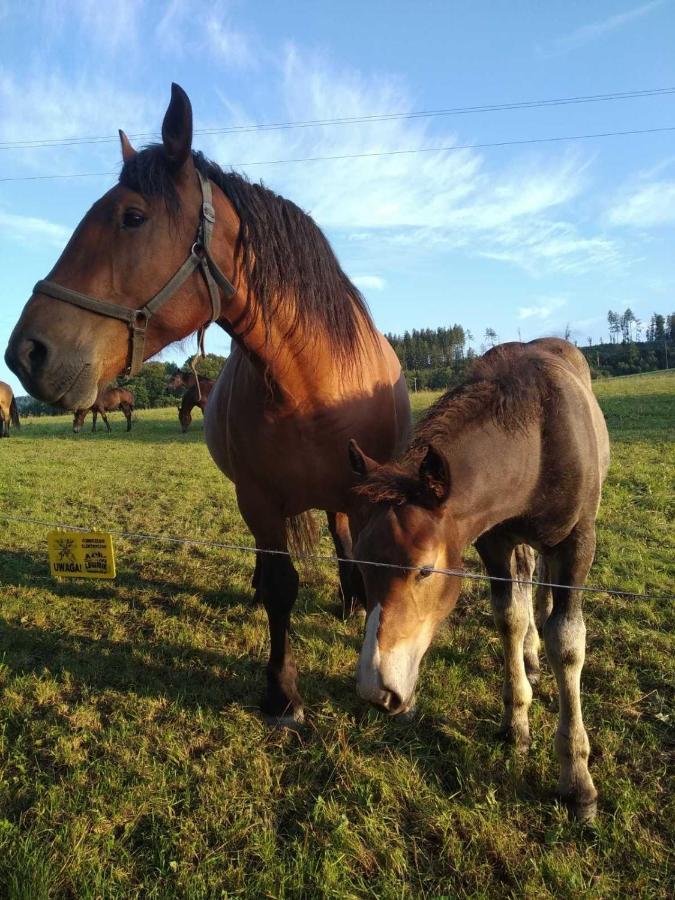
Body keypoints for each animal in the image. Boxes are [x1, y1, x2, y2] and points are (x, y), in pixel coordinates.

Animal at [6, 84, 412, 728]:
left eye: (133, 217)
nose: (26, 352)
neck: (314, 387)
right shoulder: (259, 500)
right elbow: (281, 585)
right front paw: (283, 694)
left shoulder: (370, 494)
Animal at [348, 340, 612, 824]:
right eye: (359, 561)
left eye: (425, 570)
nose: (376, 691)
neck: (537, 441)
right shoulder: (494, 541)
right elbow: (509, 617)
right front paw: (516, 724)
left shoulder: (578, 543)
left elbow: (567, 643)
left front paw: (578, 781)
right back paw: (530, 655)